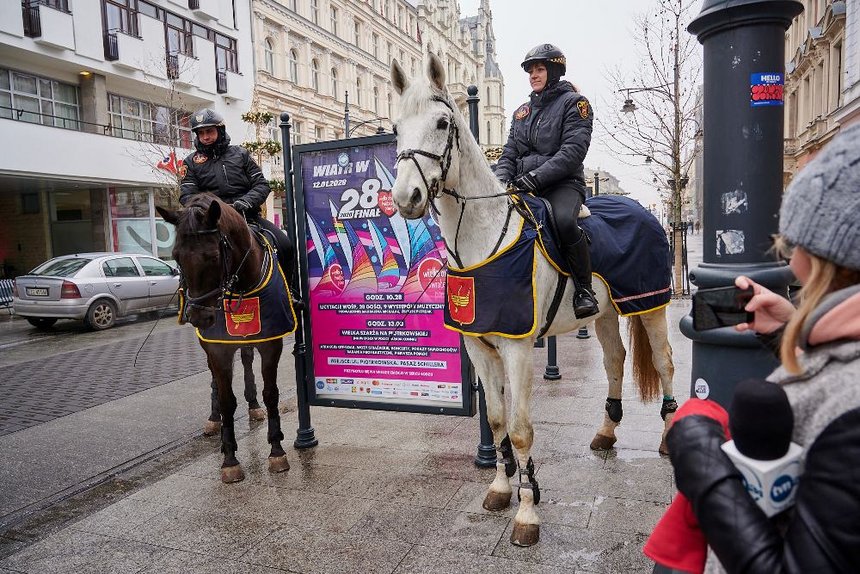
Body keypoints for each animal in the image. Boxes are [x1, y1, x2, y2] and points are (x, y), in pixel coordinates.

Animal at [160, 196, 294, 484]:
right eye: (176, 256)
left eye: (212, 256)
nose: (198, 315)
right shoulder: (218, 348)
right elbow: (226, 400)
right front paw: (230, 458)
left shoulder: (271, 343)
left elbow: (271, 393)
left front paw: (276, 450)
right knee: (215, 378)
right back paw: (215, 421)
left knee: (246, 360)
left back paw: (253, 406)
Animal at [392, 55, 680, 548]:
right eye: (395, 127)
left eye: (443, 122)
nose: (404, 198)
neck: (484, 239)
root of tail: (643, 211)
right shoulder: (479, 346)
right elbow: (496, 419)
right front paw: (500, 488)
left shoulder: (519, 348)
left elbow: (522, 430)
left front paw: (527, 512)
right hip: (604, 314)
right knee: (615, 360)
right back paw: (606, 432)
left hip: (650, 305)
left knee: (663, 362)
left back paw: (667, 436)